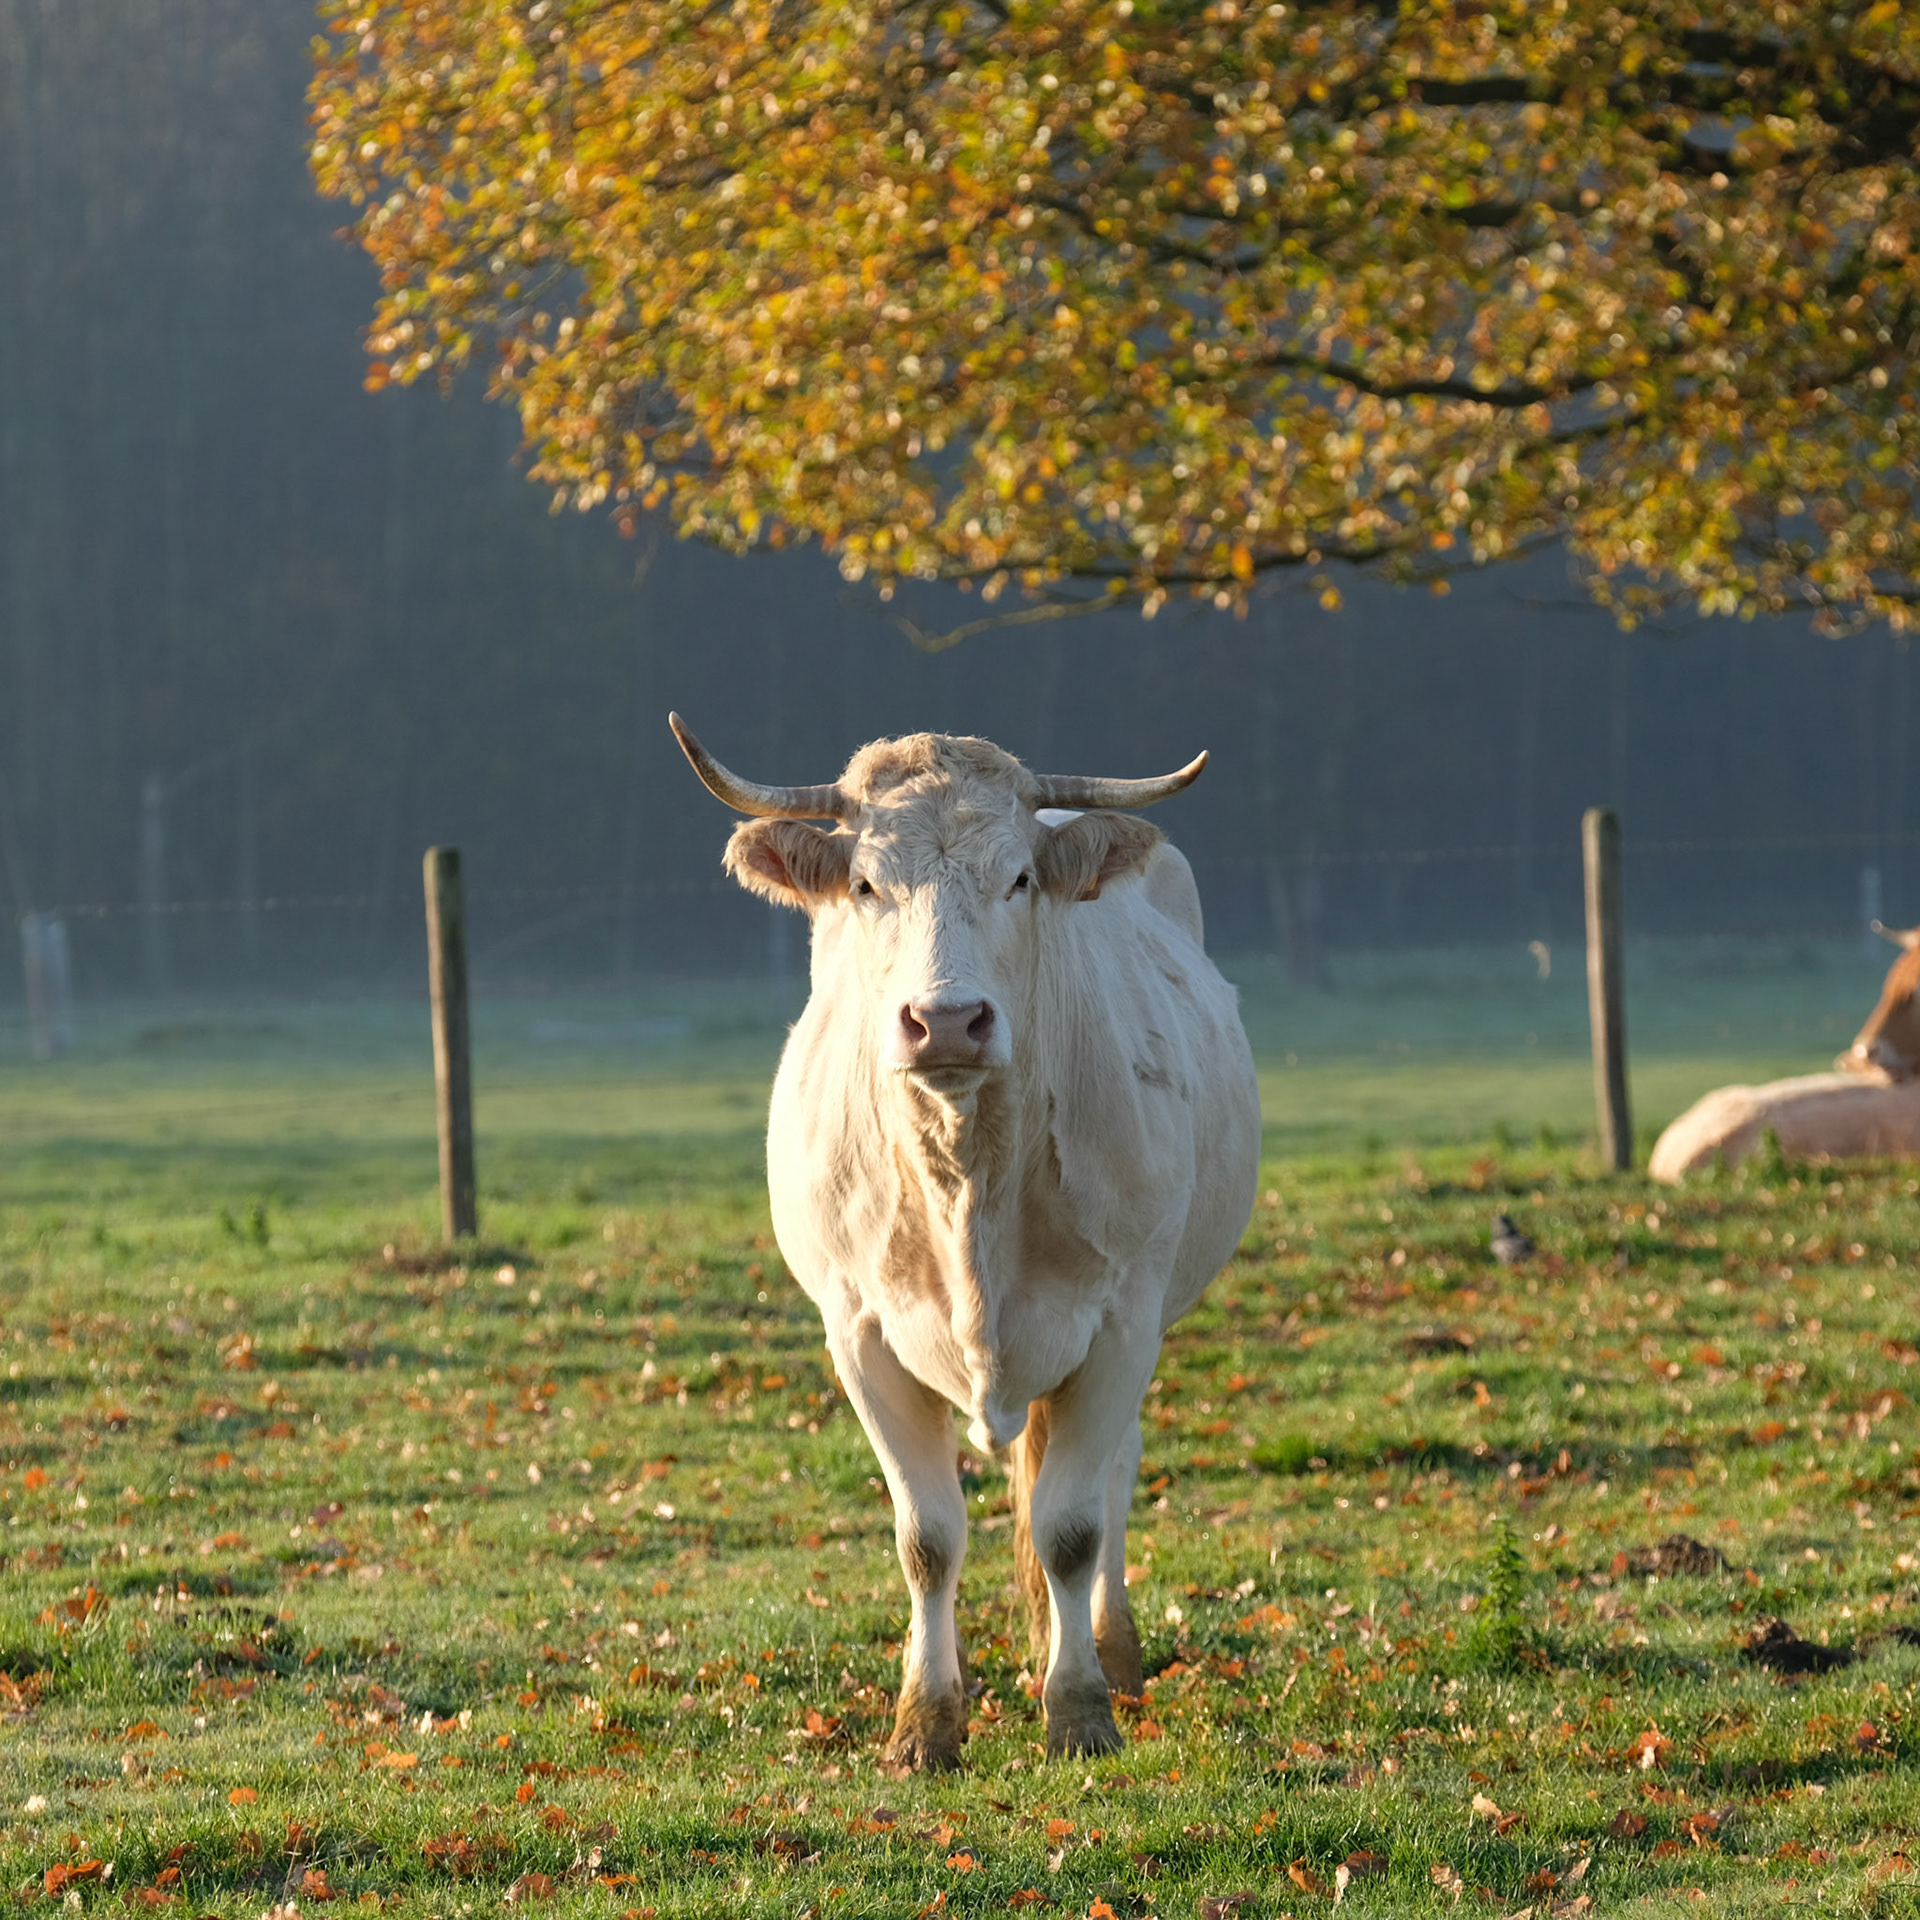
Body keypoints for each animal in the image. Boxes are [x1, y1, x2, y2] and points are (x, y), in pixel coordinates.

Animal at [670, 715, 1260, 1768]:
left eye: (1019, 878)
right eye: (866, 883)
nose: (945, 1020)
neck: (969, 1178)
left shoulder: (1121, 1325)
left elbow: (1069, 1527)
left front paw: (1079, 1708)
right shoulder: (858, 1334)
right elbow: (928, 1537)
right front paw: (926, 1722)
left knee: (1113, 1479)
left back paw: (1113, 1649)